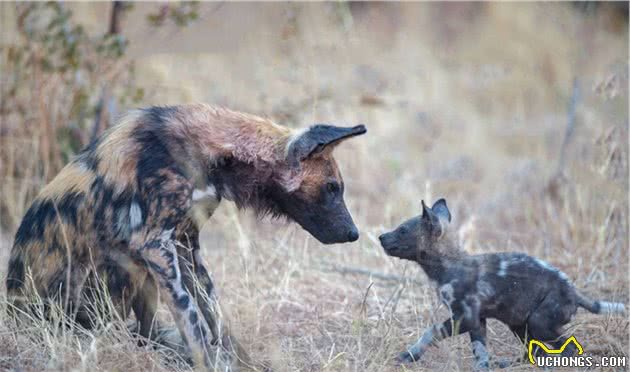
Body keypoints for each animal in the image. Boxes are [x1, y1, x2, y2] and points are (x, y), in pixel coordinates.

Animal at [7, 103, 368, 370]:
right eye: (332, 188)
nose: (354, 233)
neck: (213, 154)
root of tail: (12, 313)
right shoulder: (156, 246)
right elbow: (193, 319)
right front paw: (208, 364)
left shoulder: (185, 246)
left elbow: (215, 315)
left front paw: (243, 364)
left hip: (140, 278)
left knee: (146, 333)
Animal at [380, 198, 628, 370]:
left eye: (402, 230)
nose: (381, 237)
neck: (447, 265)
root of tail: (574, 293)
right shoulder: (477, 321)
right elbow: (480, 353)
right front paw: (482, 369)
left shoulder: (464, 317)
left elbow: (430, 331)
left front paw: (409, 355)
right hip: (519, 324)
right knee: (535, 351)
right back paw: (513, 364)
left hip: (539, 323)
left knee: (566, 348)